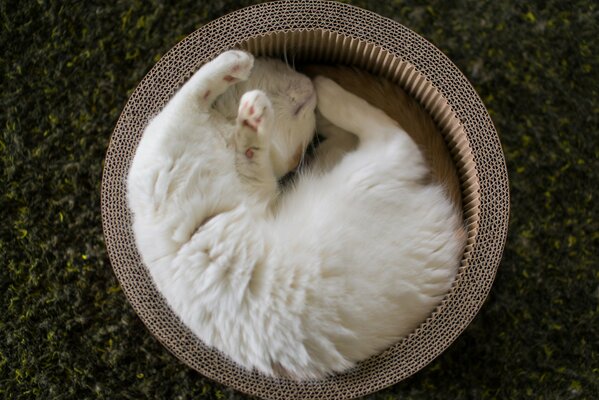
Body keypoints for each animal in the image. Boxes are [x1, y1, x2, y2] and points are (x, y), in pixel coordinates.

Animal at [125, 50, 464, 382]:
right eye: (303, 129)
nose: (307, 87)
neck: (222, 127)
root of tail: (451, 233)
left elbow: (199, 101)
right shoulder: (166, 148)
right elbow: (193, 94)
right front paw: (239, 77)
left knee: (388, 137)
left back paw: (325, 97)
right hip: (366, 171)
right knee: (394, 137)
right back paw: (328, 93)